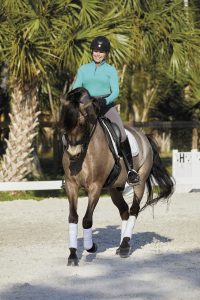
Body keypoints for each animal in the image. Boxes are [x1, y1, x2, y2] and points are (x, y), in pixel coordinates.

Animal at [60, 86, 174, 264]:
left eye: (82, 123)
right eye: (64, 122)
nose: (73, 152)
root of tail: (144, 136)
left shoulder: (95, 187)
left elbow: (87, 219)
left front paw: (91, 247)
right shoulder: (71, 185)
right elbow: (73, 217)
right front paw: (72, 255)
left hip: (139, 182)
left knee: (134, 210)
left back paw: (125, 247)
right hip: (115, 188)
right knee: (124, 211)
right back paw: (121, 246)